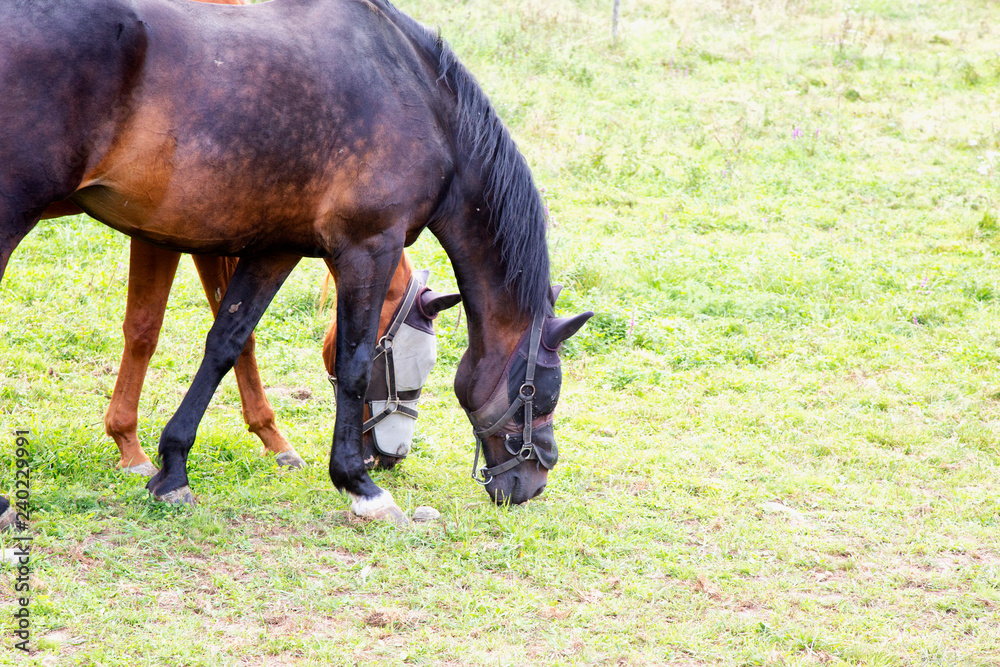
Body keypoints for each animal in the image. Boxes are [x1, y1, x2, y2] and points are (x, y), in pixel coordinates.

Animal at [0, 0, 592, 522]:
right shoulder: (369, 248)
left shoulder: (275, 247)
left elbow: (227, 341)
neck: (418, 97)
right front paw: (359, 486)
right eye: (542, 392)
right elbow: (354, 362)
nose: (534, 479)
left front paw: (173, 469)